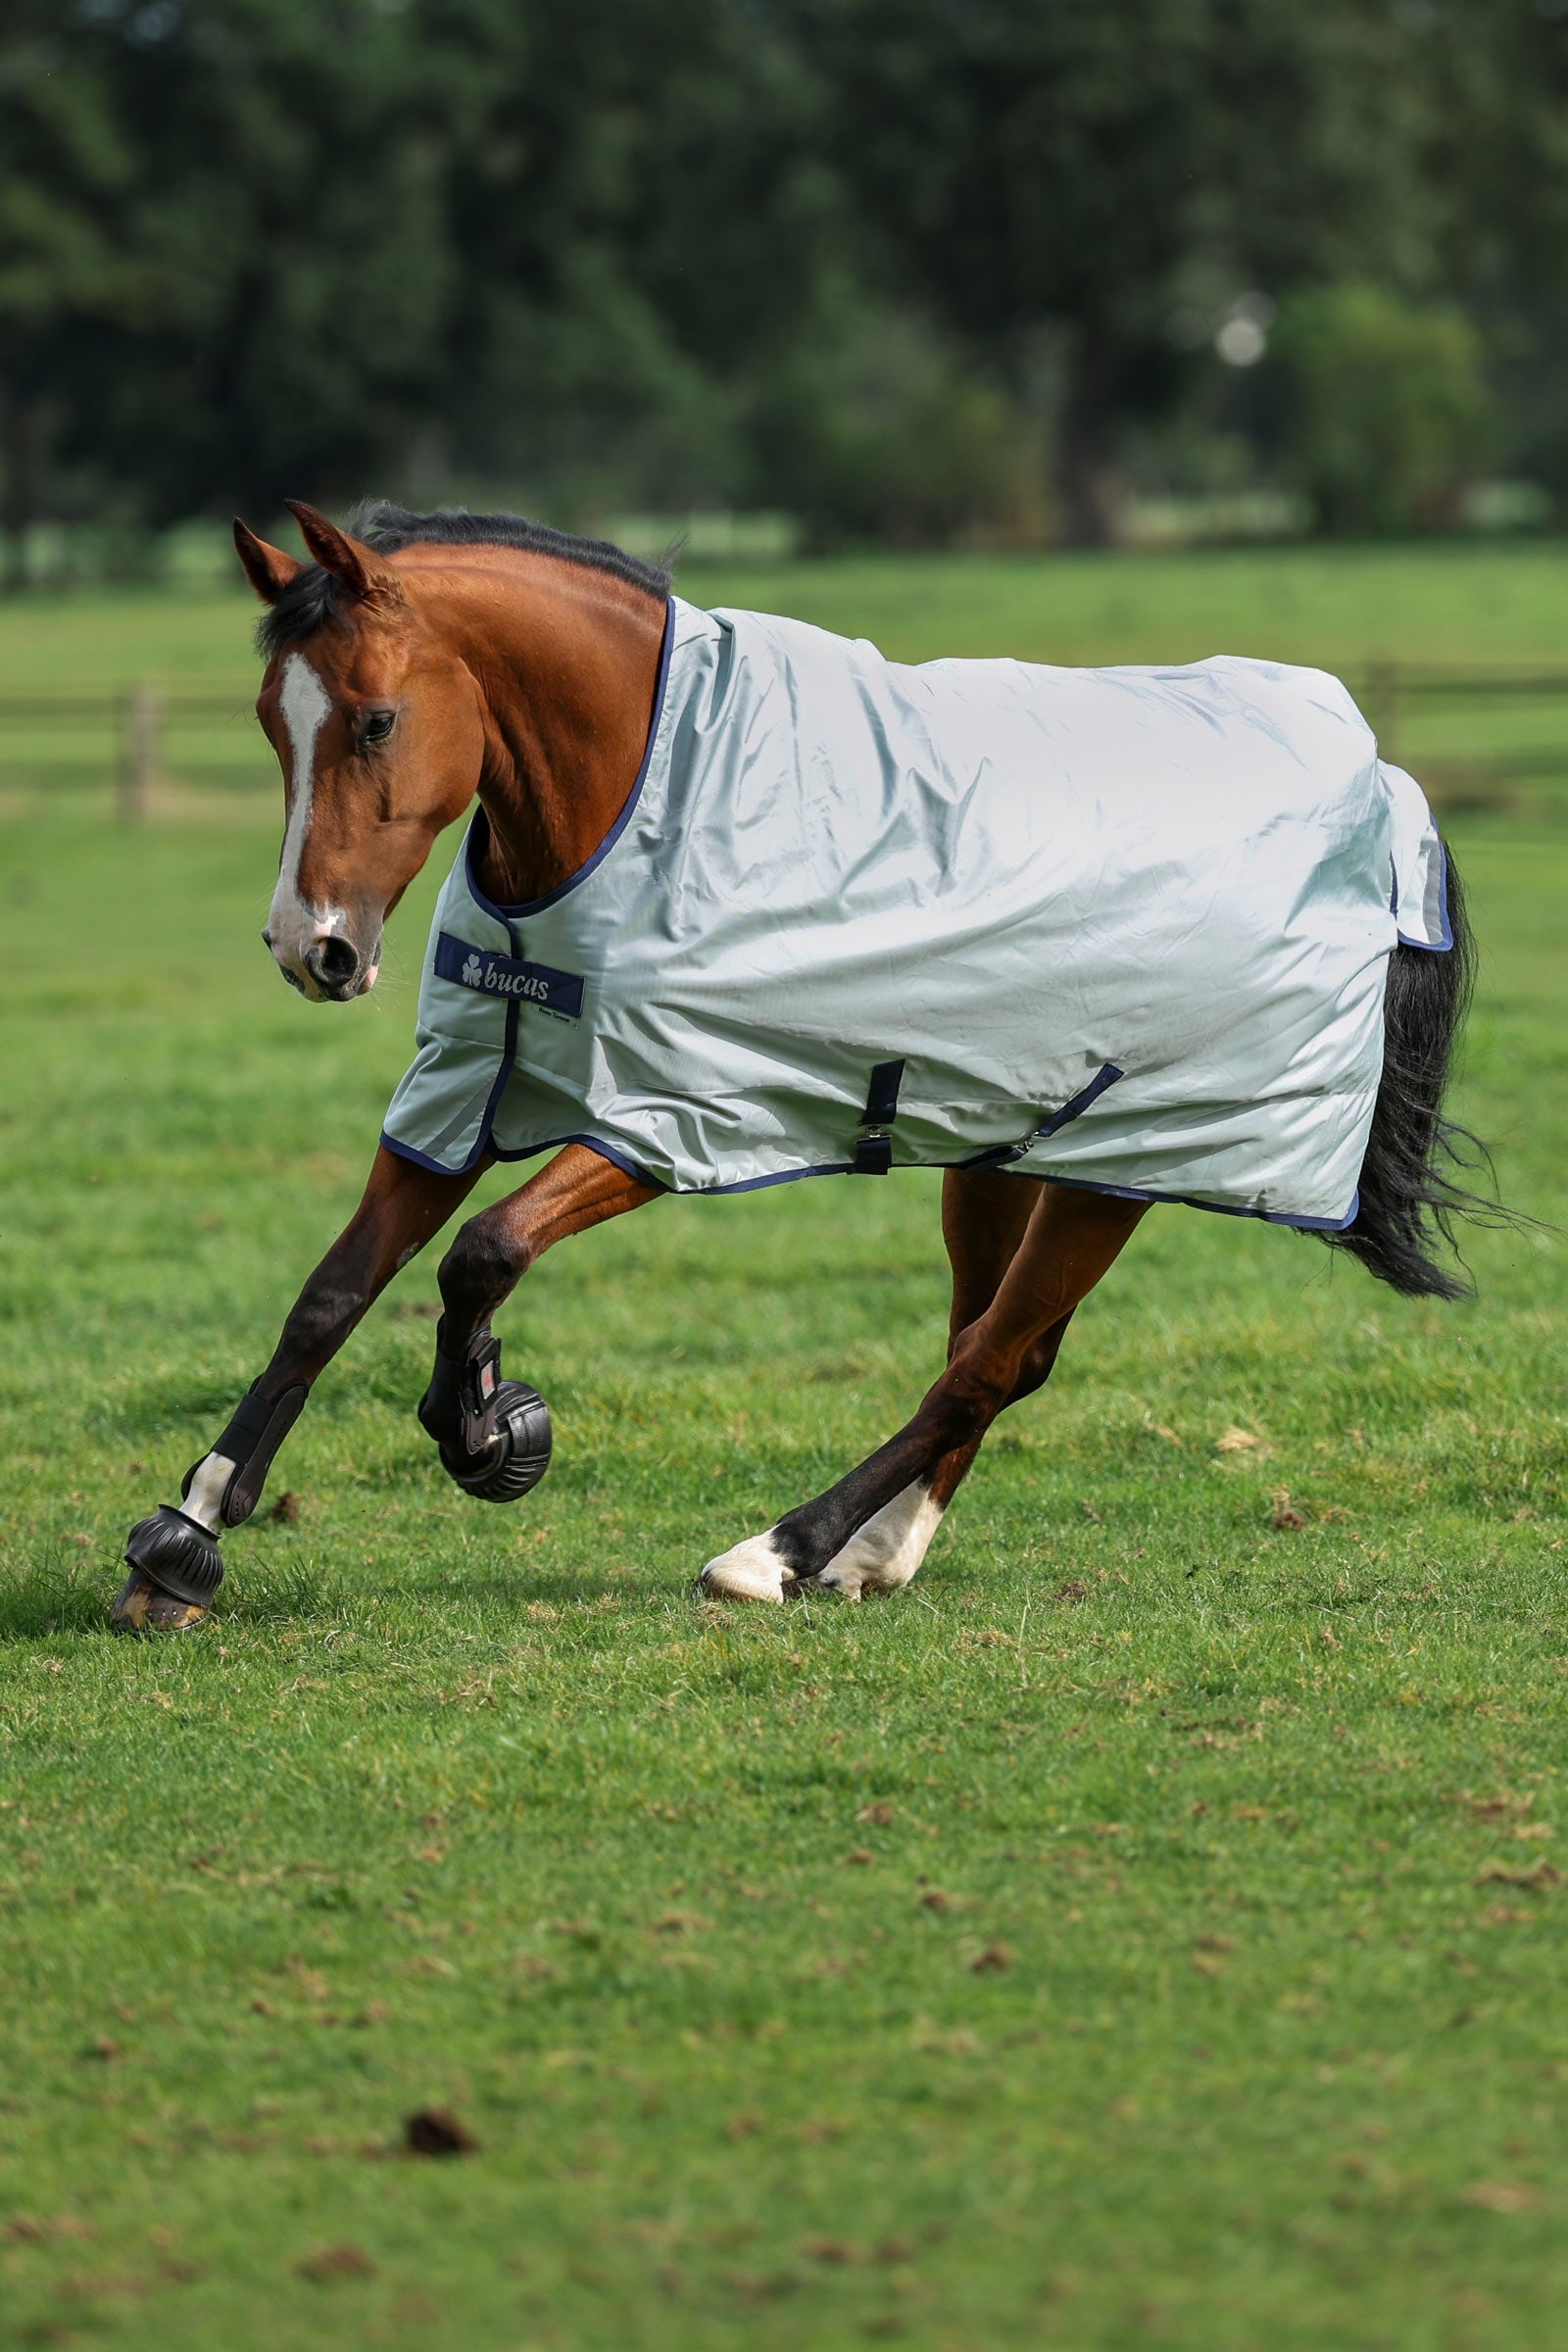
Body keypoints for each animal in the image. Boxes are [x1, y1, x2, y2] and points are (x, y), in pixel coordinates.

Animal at [113, 500, 1486, 1632]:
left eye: (376, 719)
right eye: (270, 724)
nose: (313, 948)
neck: (628, 798)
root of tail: (1379, 792)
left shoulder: (662, 1120)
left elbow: (481, 1256)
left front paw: (487, 1429)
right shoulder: (458, 1097)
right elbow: (332, 1295)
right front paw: (186, 1538)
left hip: (1127, 1166)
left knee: (988, 1362)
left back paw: (778, 1552)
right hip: (999, 1147)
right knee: (994, 1352)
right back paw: (876, 1554)